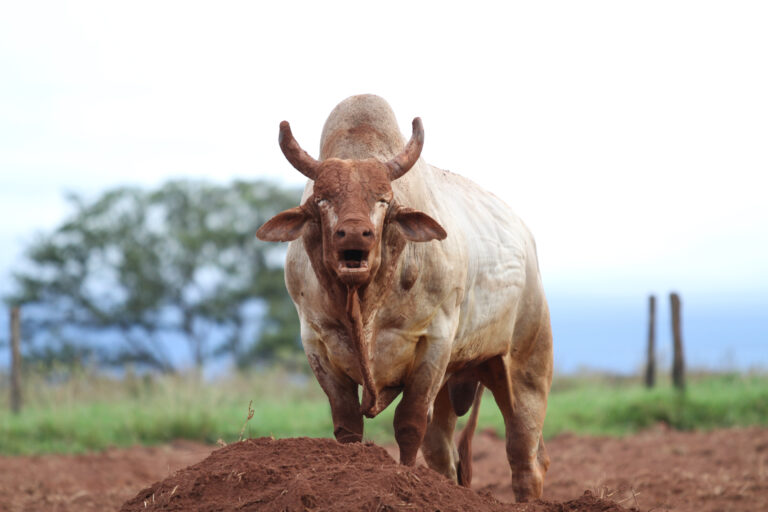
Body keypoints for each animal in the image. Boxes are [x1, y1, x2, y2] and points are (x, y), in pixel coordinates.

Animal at [256, 95, 552, 500]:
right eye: (322, 199)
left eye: (383, 200)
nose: (355, 234)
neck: (362, 304)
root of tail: (525, 237)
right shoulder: (317, 344)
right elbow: (348, 426)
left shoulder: (434, 343)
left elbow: (409, 425)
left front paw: (406, 482)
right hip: (454, 382)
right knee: (444, 453)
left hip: (526, 366)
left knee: (524, 455)